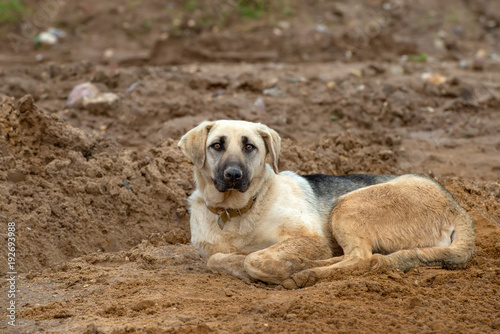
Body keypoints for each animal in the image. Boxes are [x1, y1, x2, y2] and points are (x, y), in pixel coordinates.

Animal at [178, 120, 474, 290]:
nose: (233, 175)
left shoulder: (310, 238)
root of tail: (457, 207)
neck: (236, 211)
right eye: (217, 146)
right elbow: (218, 259)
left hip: (348, 204)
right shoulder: (214, 250)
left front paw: (285, 267)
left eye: (250, 147)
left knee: (362, 258)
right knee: (359, 257)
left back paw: (307, 273)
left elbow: (255, 259)